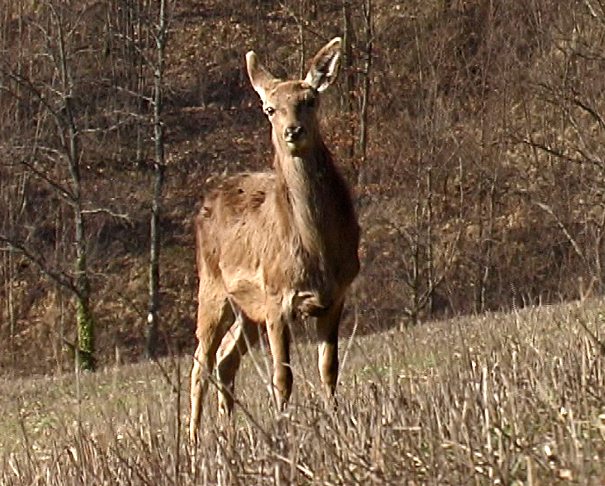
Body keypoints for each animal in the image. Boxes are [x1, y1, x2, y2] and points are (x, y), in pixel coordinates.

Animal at [189, 36, 358, 442]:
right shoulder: (277, 297)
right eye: (269, 108)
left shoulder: (336, 295)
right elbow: (283, 375)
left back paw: (226, 433)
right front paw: (284, 429)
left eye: (309, 100)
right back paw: (193, 441)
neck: (316, 250)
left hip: (248, 307)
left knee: (225, 360)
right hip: (213, 287)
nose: (292, 131)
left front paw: (335, 421)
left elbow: (329, 368)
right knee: (200, 362)